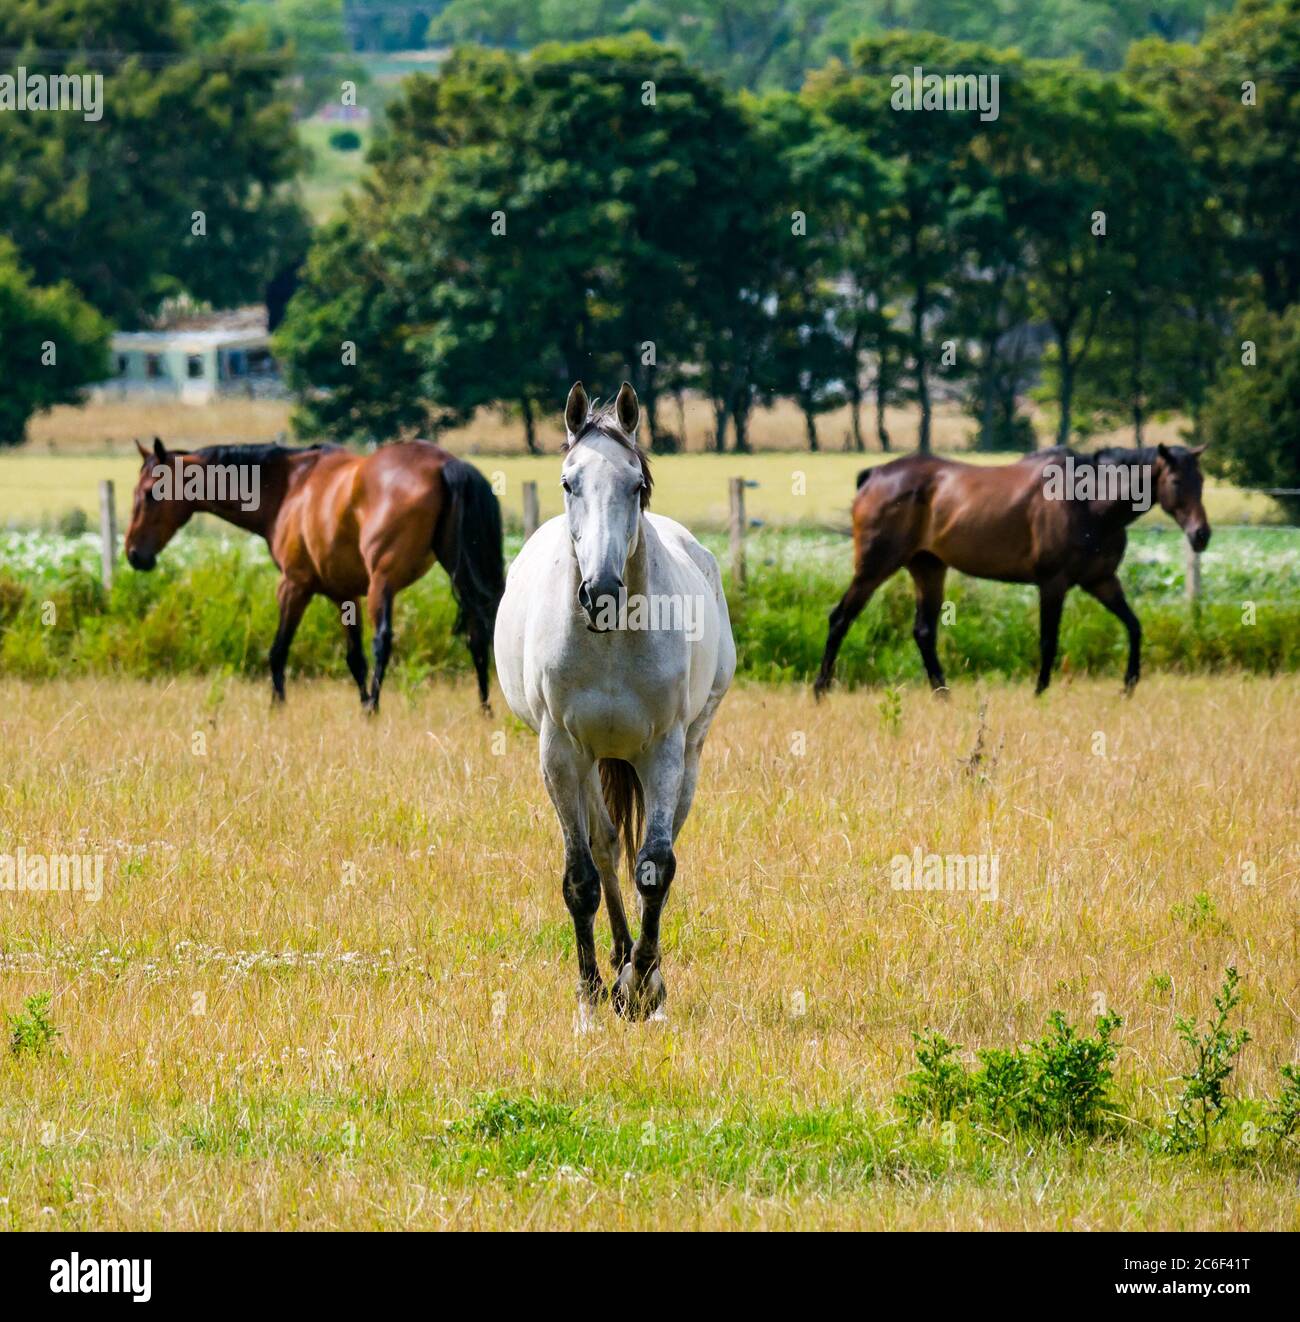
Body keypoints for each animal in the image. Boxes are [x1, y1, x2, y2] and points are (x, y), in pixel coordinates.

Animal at [124, 436, 502, 708]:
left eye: (150, 493)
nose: (133, 554)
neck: (290, 486)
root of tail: (446, 465)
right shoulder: (343, 594)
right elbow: (354, 658)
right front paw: (361, 705)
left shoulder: (294, 586)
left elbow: (278, 650)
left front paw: (278, 707)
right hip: (459, 576)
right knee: (478, 633)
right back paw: (483, 707)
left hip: (383, 584)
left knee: (383, 640)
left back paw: (377, 706)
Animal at [494, 383, 735, 1020]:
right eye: (568, 482)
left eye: (636, 485)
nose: (600, 592)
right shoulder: (559, 751)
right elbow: (580, 876)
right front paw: (591, 993)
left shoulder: (664, 750)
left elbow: (656, 866)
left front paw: (645, 985)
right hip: (584, 762)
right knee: (602, 848)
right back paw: (616, 960)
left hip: (688, 751)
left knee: (654, 843)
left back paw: (634, 965)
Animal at [819, 444, 1216, 698]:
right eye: (1177, 482)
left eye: (1201, 482)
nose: (1201, 534)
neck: (1089, 501)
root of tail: (874, 476)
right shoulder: (1053, 583)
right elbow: (1048, 640)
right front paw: (1039, 691)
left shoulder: (1101, 581)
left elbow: (1134, 626)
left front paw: (1129, 684)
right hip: (874, 567)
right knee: (840, 619)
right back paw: (820, 690)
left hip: (928, 567)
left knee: (923, 632)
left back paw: (944, 695)